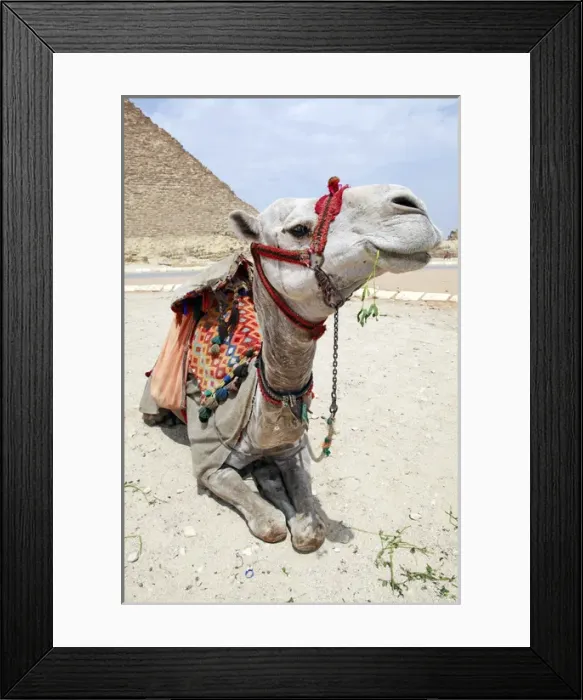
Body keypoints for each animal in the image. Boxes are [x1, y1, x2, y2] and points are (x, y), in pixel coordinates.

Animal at [140, 178, 441, 553]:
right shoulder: (209, 464)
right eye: (298, 229)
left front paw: (284, 497)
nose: (411, 205)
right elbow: (268, 522)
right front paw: (271, 503)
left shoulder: (291, 448)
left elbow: (309, 525)